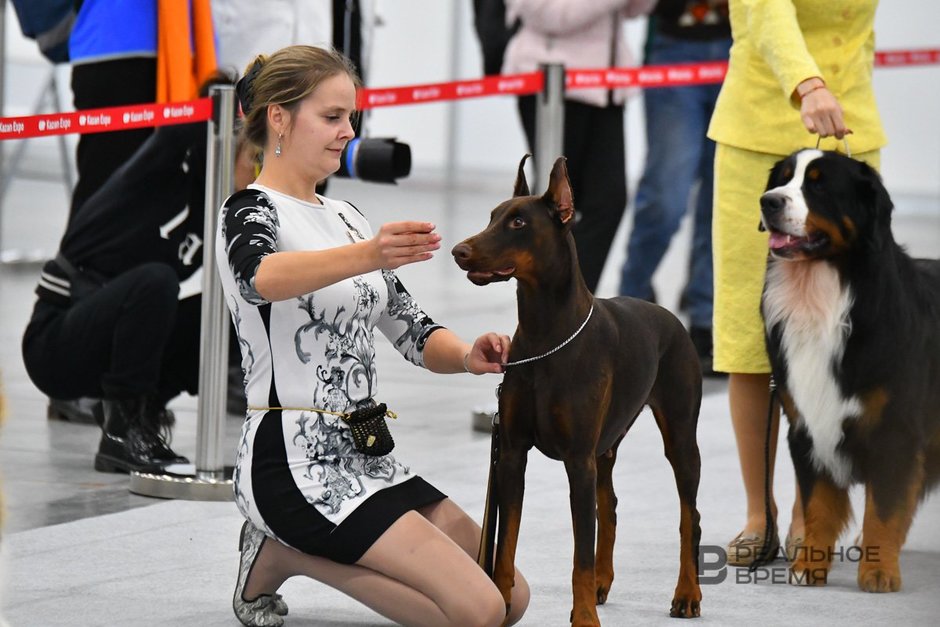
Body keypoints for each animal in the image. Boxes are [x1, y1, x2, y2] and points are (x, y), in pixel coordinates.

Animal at [760, 148, 936, 592]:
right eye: (781, 178)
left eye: (819, 185)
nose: (769, 202)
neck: (822, 295)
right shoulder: (806, 423)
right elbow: (818, 505)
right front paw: (808, 567)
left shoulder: (895, 429)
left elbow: (885, 508)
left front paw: (879, 571)